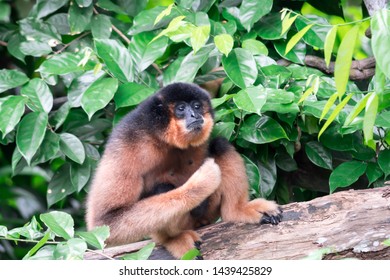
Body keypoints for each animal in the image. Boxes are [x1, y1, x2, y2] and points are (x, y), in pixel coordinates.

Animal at [85, 82, 282, 260]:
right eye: (181, 108)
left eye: (196, 106)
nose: (195, 114)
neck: (163, 139)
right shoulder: (127, 141)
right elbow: (108, 221)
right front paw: (201, 182)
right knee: (163, 189)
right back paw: (174, 239)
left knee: (219, 145)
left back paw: (237, 210)